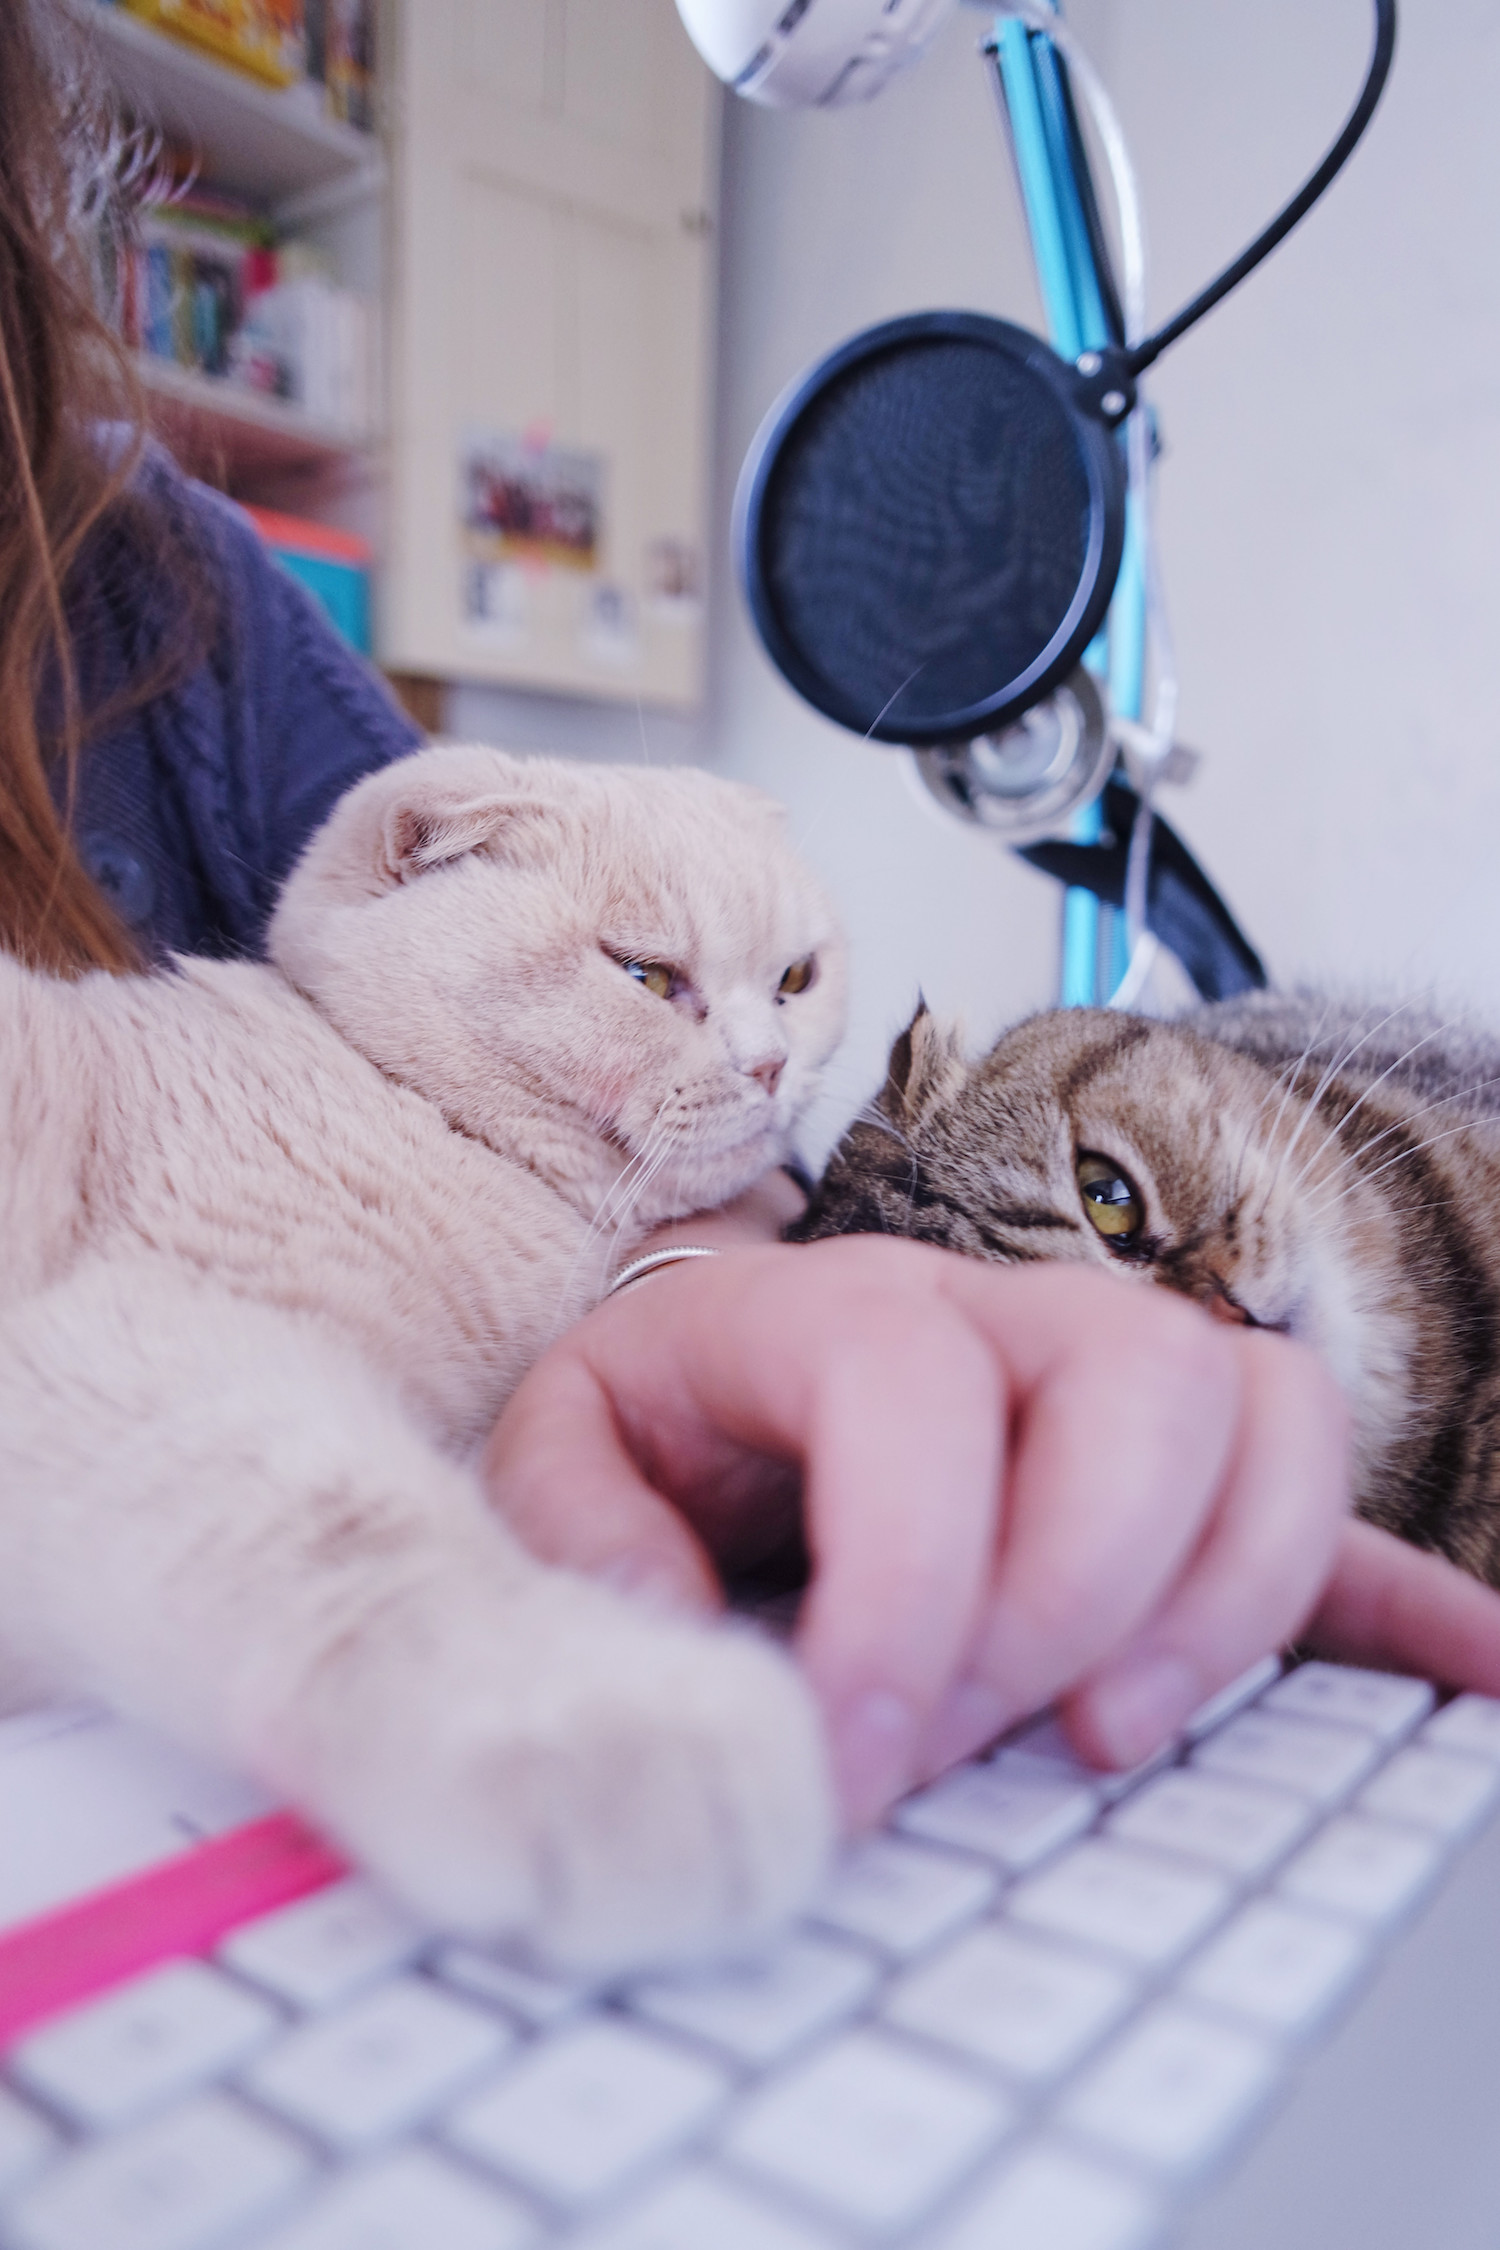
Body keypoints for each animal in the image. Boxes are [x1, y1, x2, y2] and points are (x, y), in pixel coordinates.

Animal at [0, 742, 850, 1971]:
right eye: (646, 977)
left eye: (795, 978)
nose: (772, 1065)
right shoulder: (127, 1339)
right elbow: (363, 1535)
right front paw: (616, 1717)